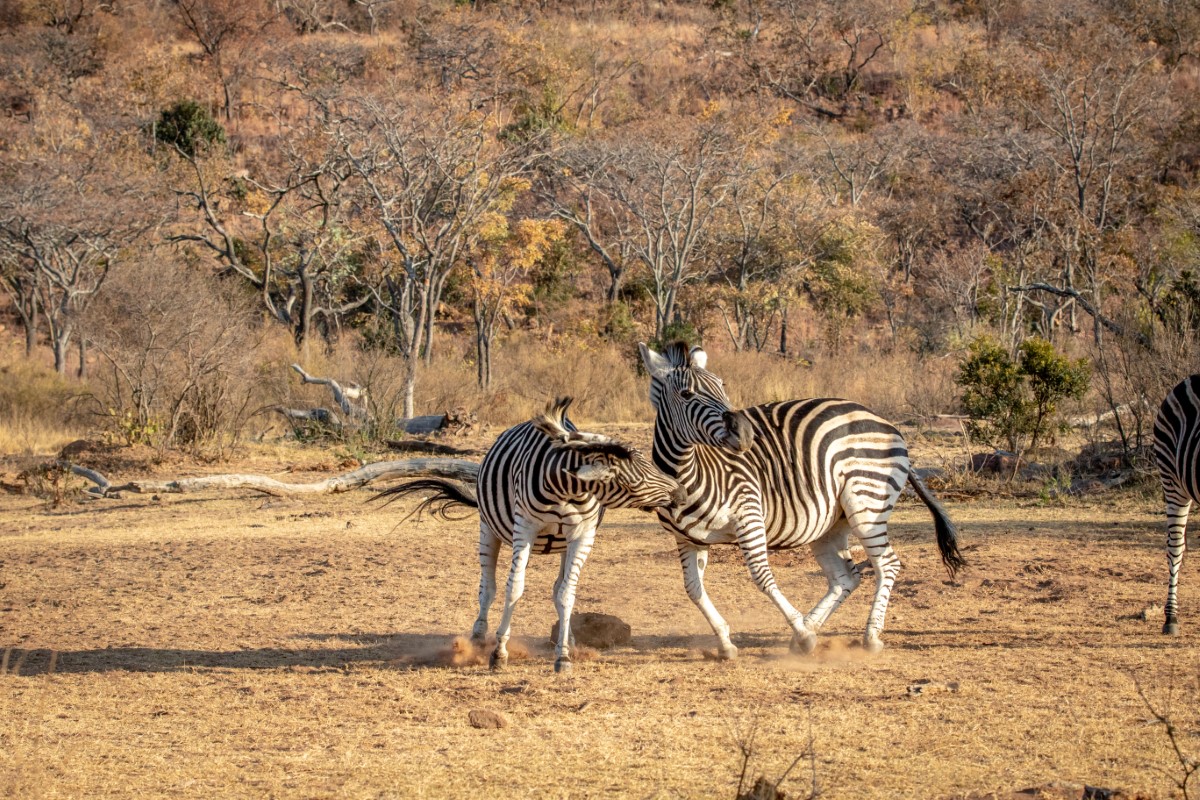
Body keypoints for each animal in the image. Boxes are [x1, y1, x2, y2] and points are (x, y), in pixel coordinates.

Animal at [374, 398, 681, 671]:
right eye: (639, 473)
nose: (679, 492)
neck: (566, 490)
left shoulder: (582, 534)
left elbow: (567, 593)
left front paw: (563, 656)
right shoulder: (525, 529)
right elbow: (514, 589)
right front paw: (499, 652)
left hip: (563, 544)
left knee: (558, 589)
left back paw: (568, 640)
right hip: (488, 528)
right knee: (487, 588)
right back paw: (478, 639)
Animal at [638, 340, 964, 657]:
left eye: (722, 385)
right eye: (687, 394)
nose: (747, 434)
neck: (687, 473)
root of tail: (883, 421)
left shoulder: (748, 515)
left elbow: (762, 577)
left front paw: (803, 634)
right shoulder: (687, 539)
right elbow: (694, 590)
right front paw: (726, 642)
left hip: (867, 503)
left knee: (887, 565)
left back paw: (868, 636)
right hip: (831, 522)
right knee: (846, 577)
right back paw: (809, 630)